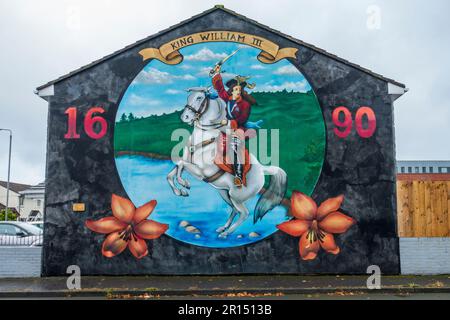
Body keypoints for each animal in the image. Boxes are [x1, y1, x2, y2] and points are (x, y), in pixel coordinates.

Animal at [167, 87, 286, 238]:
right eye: (189, 97)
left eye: (199, 97)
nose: (185, 117)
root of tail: (262, 169)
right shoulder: (188, 162)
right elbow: (174, 170)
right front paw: (179, 191)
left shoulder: (201, 171)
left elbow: (181, 166)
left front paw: (184, 184)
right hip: (225, 193)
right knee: (235, 210)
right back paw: (223, 228)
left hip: (236, 196)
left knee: (244, 213)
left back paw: (227, 233)